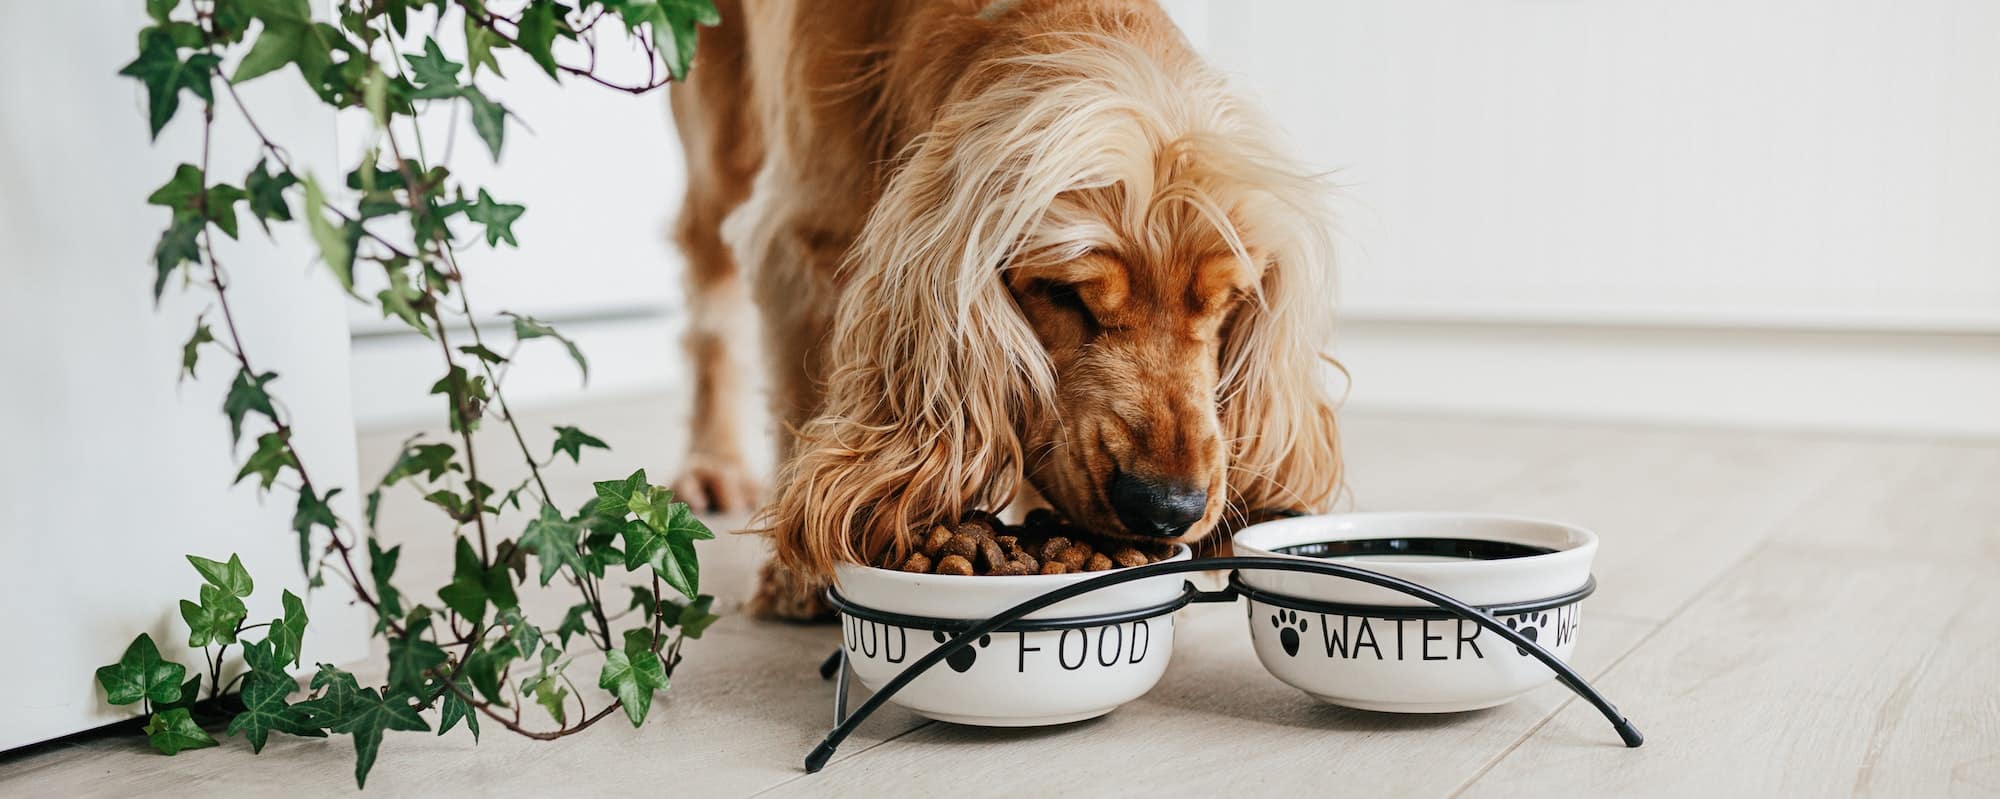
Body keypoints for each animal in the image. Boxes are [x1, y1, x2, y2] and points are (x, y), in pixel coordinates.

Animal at [668, 0, 1344, 619]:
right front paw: (801, 580)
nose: (1166, 509)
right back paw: (712, 464)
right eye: (1065, 293)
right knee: (709, 291)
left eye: (1231, 300)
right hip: (717, 112)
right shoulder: (803, 236)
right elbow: (803, 395)